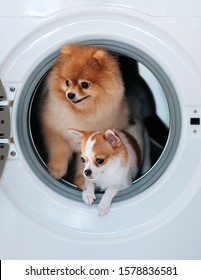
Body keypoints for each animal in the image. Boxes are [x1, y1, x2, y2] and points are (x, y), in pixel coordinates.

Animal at [40, 44, 129, 186]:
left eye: (85, 84)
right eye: (67, 82)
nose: (70, 94)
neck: (82, 113)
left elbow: (85, 163)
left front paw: (83, 181)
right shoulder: (55, 131)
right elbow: (59, 150)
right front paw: (56, 170)